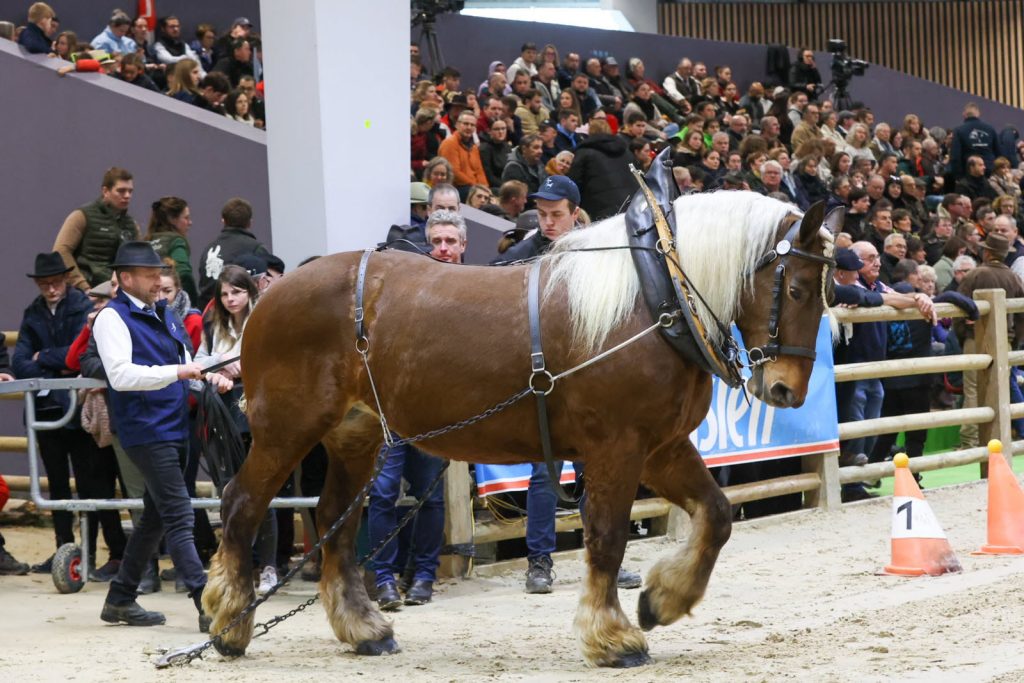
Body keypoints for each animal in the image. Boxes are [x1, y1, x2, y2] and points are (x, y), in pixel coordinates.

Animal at [202, 191, 841, 668]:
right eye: (796, 289)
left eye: (826, 291)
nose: (786, 390)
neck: (654, 295)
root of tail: (271, 296)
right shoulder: (617, 448)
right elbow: (607, 536)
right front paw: (611, 636)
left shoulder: (660, 447)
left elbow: (717, 514)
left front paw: (662, 600)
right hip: (286, 430)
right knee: (242, 505)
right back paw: (229, 620)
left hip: (355, 436)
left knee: (335, 523)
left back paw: (363, 629)